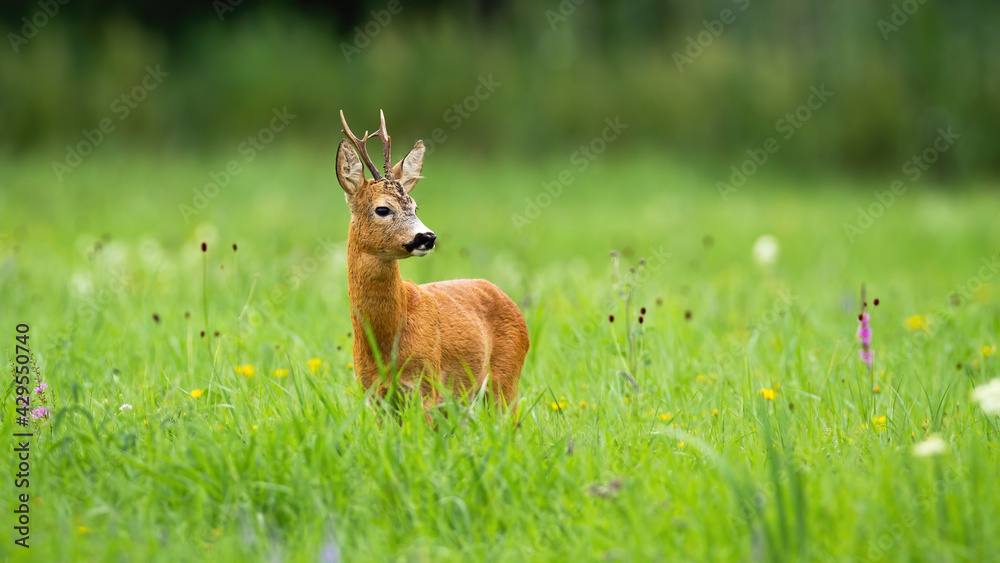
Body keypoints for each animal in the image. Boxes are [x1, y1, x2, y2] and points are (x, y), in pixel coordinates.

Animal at [335, 109, 529, 419]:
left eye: (415, 207)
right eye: (382, 209)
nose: (426, 237)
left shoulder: (425, 385)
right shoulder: (371, 394)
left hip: (505, 378)